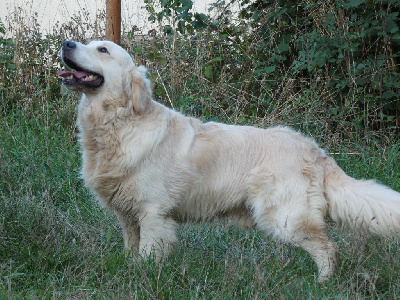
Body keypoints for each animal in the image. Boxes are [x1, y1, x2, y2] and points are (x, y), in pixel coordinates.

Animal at [58, 39, 400, 282]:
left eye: (102, 49)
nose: (66, 43)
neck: (118, 123)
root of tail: (313, 149)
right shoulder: (129, 215)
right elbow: (131, 248)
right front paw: (129, 269)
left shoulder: (154, 212)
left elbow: (148, 254)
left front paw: (143, 275)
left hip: (286, 217)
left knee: (327, 248)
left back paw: (323, 284)